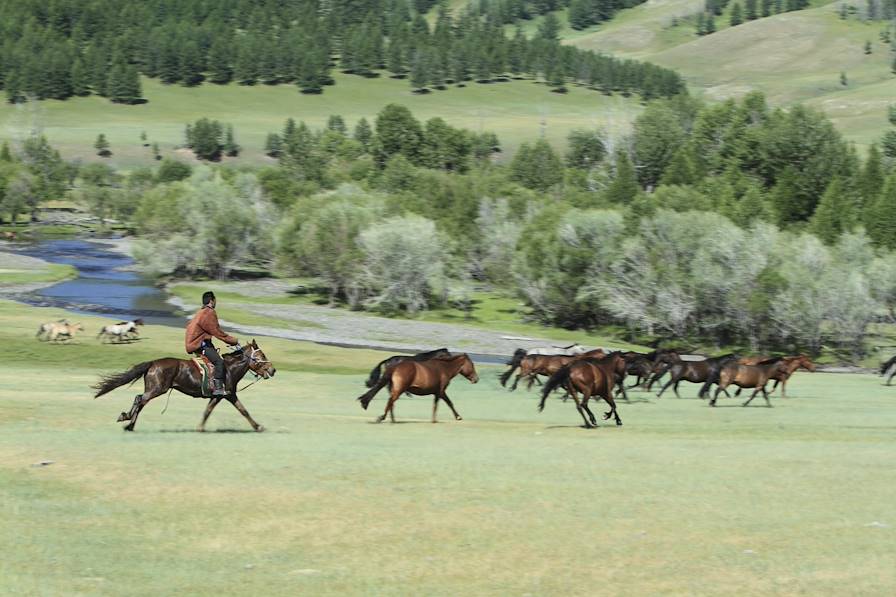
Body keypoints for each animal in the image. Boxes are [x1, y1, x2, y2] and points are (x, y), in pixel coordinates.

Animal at [91, 338, 274, 430]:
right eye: (262, 355)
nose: (273, 370)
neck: (229, 368)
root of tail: (153, 363)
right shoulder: (225, 395)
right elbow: (239, 411)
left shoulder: (225, 396)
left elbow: (235, 410)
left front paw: (258, 426)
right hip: (157, 389)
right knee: (139, 399)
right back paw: (127, 420)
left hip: (153, 389)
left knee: (140, 401)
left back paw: (129, 424)